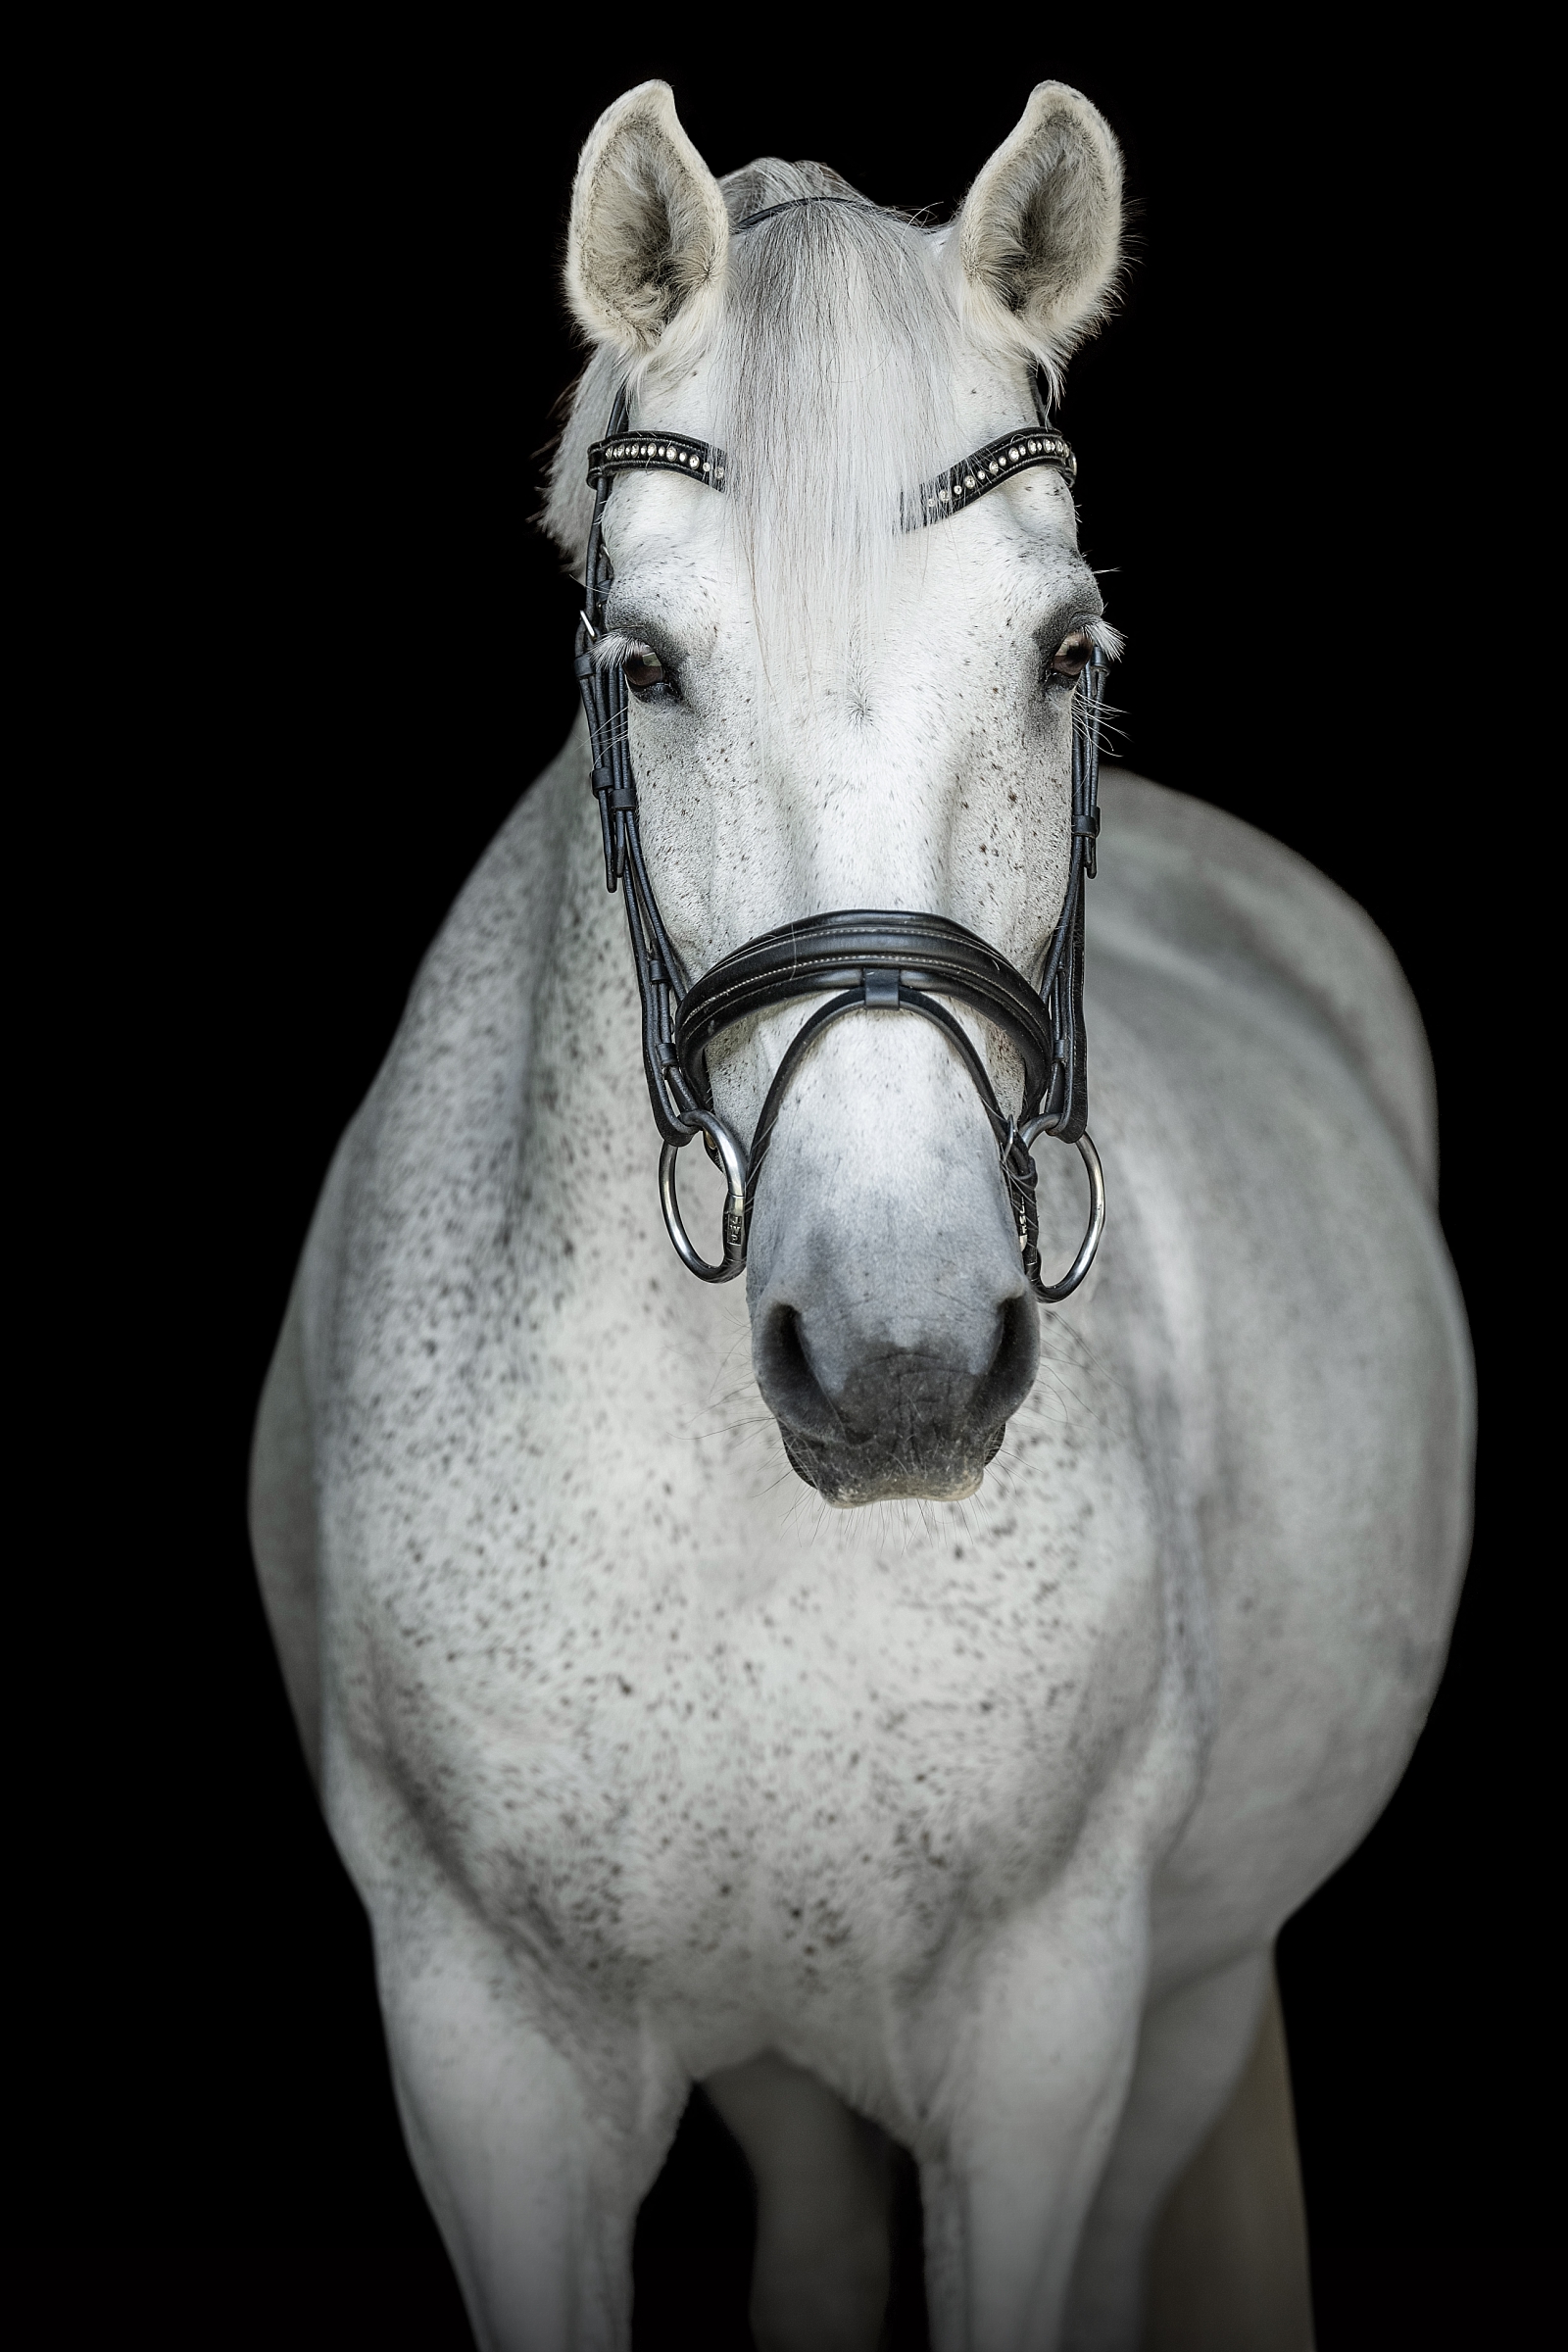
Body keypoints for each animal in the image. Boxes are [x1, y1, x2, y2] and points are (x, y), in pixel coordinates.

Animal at [248, 77, 1476, 2352]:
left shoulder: (1043, 2042)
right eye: (642, 664)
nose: (898, 1362)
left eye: (1065, 649)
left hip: (1184, 2007)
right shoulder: (487, 2062)